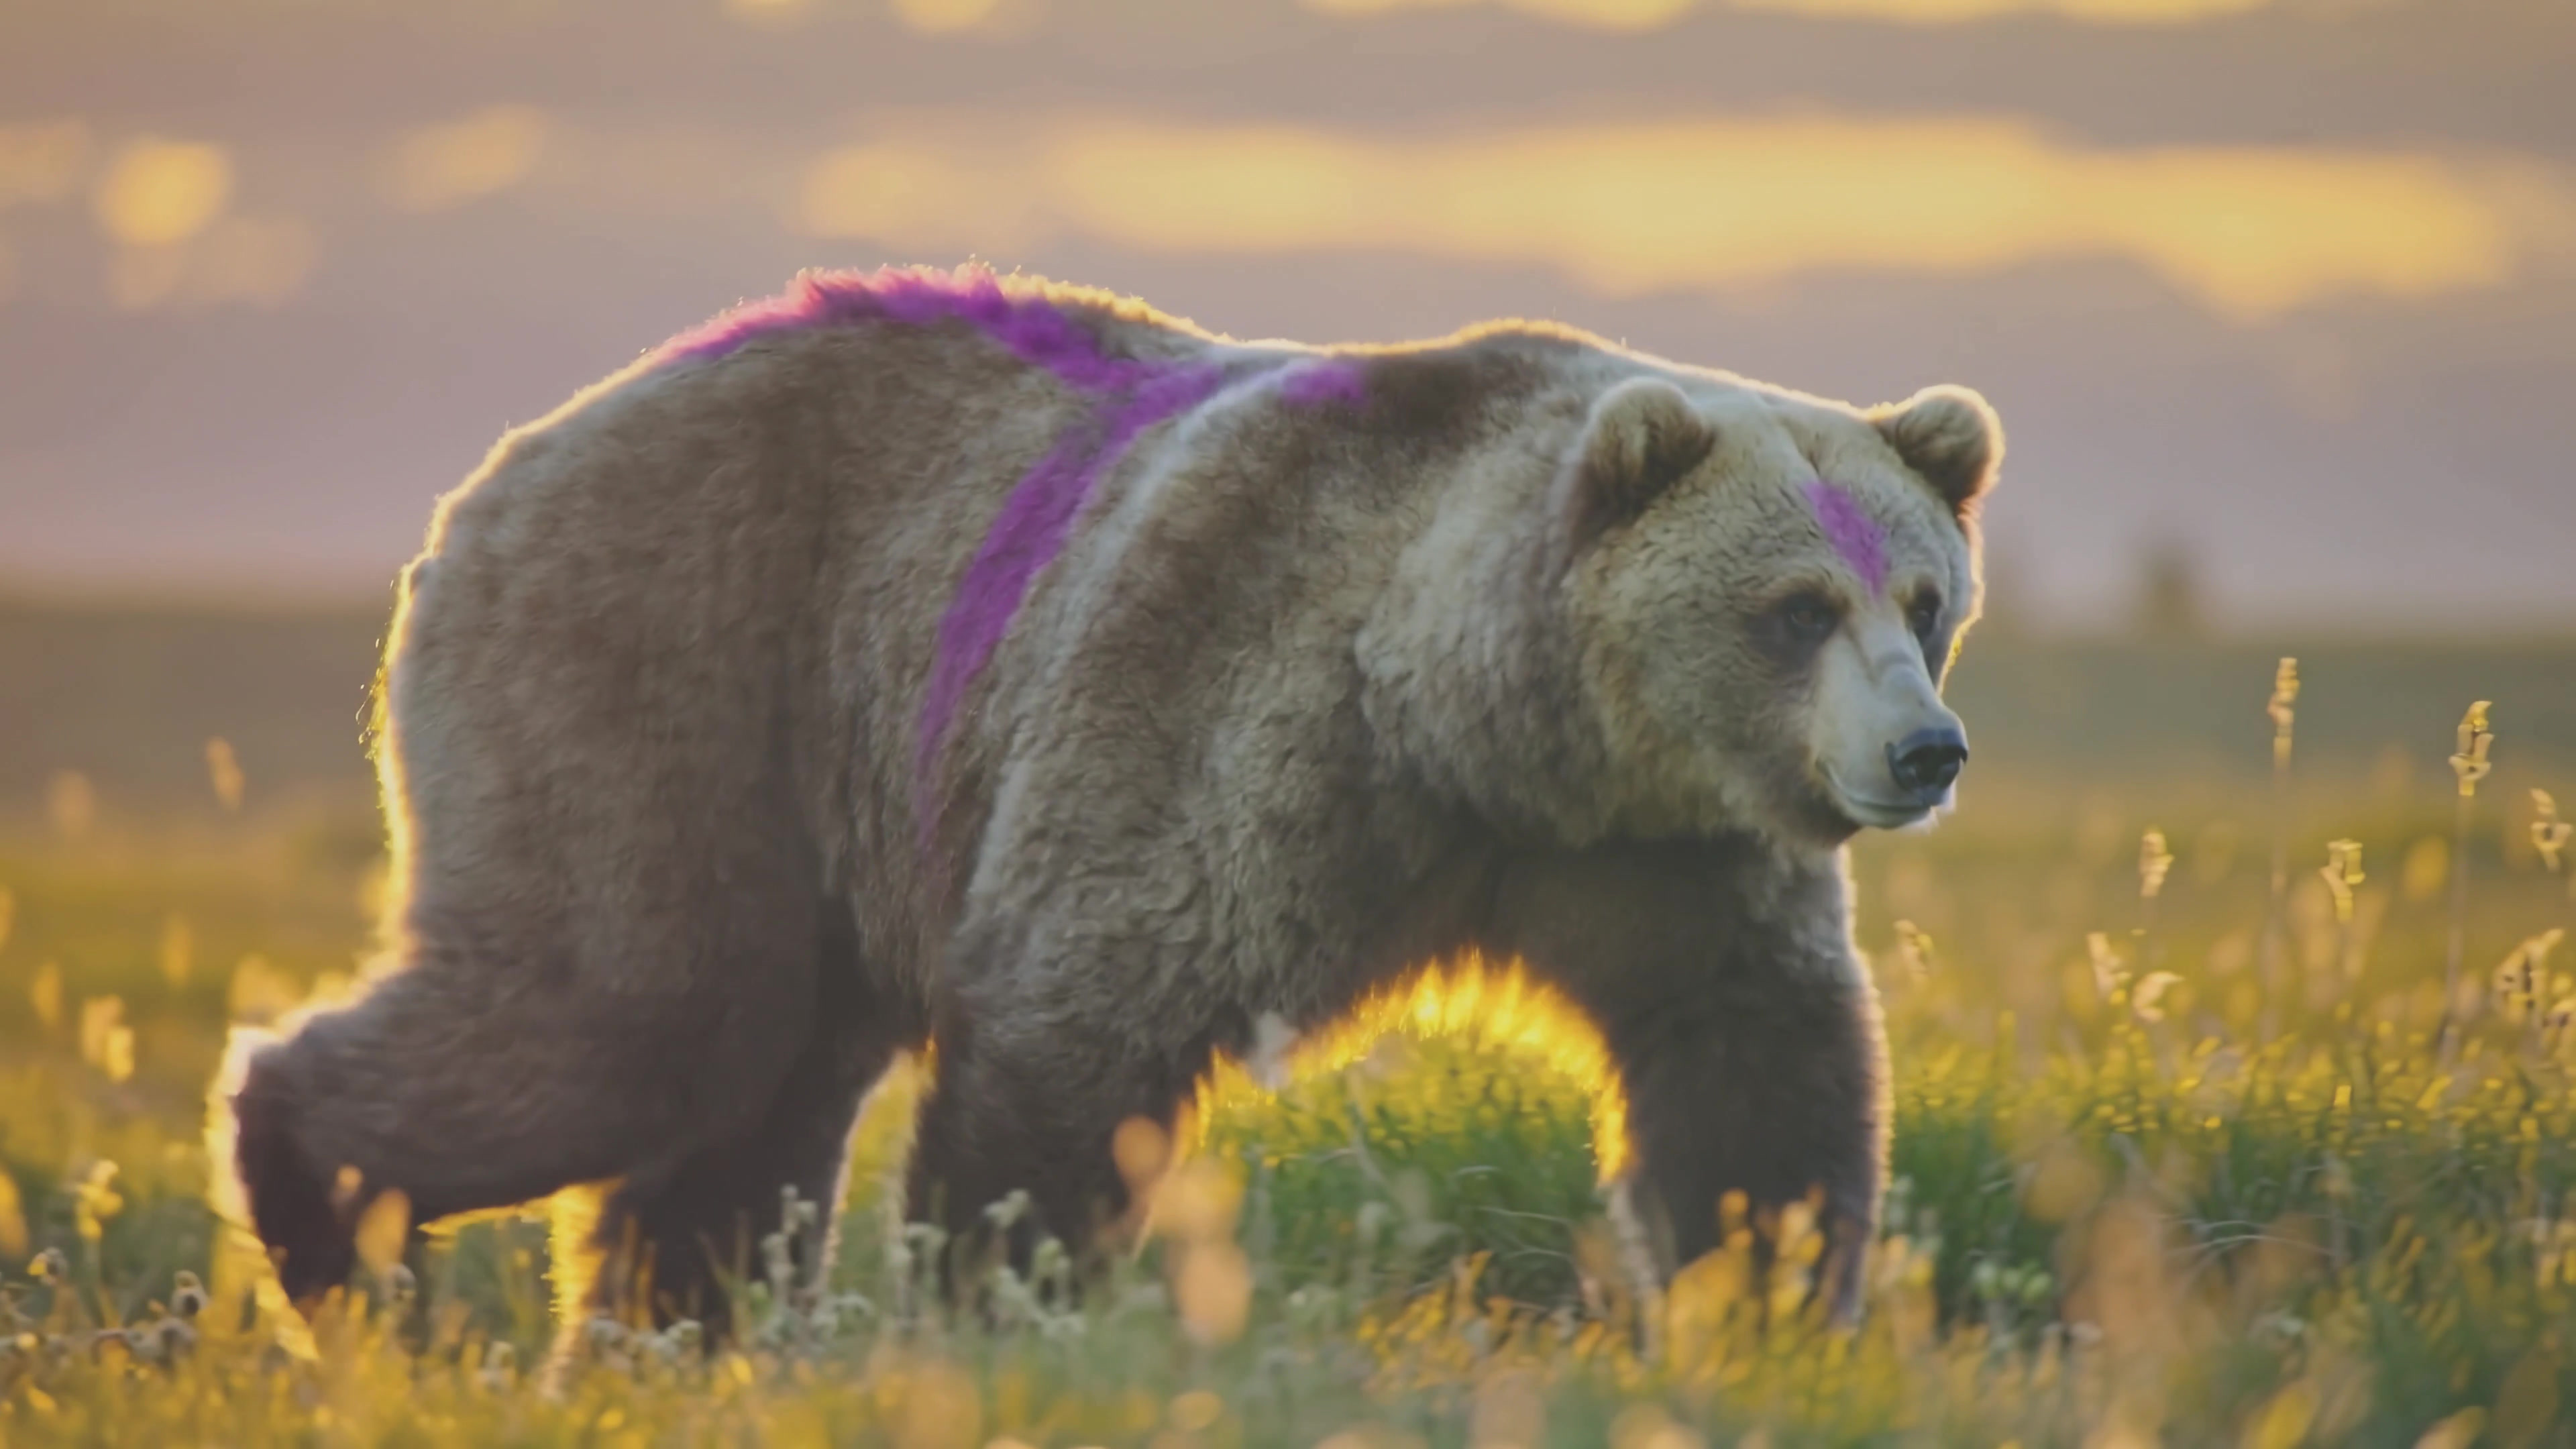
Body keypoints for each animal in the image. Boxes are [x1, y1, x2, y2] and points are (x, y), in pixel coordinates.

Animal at [212, 263, 1999, 1336]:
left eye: (1921, 599)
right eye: (1794, 607)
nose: (1926, 752)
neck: (1476, 726)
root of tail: (500, 469)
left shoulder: (1659, 851)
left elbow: (1749, 1066)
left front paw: (1767, 1298)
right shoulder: (1226, 718)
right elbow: (1080, 1028)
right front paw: (997, 1303)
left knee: (746, 1094)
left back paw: (672, 1332)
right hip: (674, 668)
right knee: (632, 1012)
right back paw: (337, 1238)